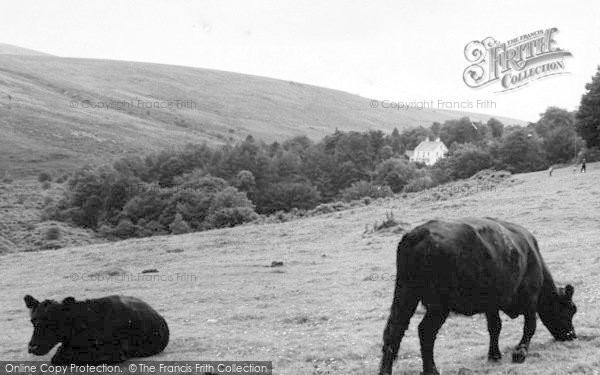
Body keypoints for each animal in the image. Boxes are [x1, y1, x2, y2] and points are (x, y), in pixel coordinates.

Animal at [380, 217, 576, 375]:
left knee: (393, 332)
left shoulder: (492, 304)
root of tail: (416, 235)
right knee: (425, 331)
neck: (533, 258)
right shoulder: (530, 298)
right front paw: (520, 353)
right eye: (570, 310)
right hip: (438, 305)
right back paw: (432, 370)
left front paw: (494, 355)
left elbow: (495, 327)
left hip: (405, 295)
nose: (572, 335)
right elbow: (530, 326)